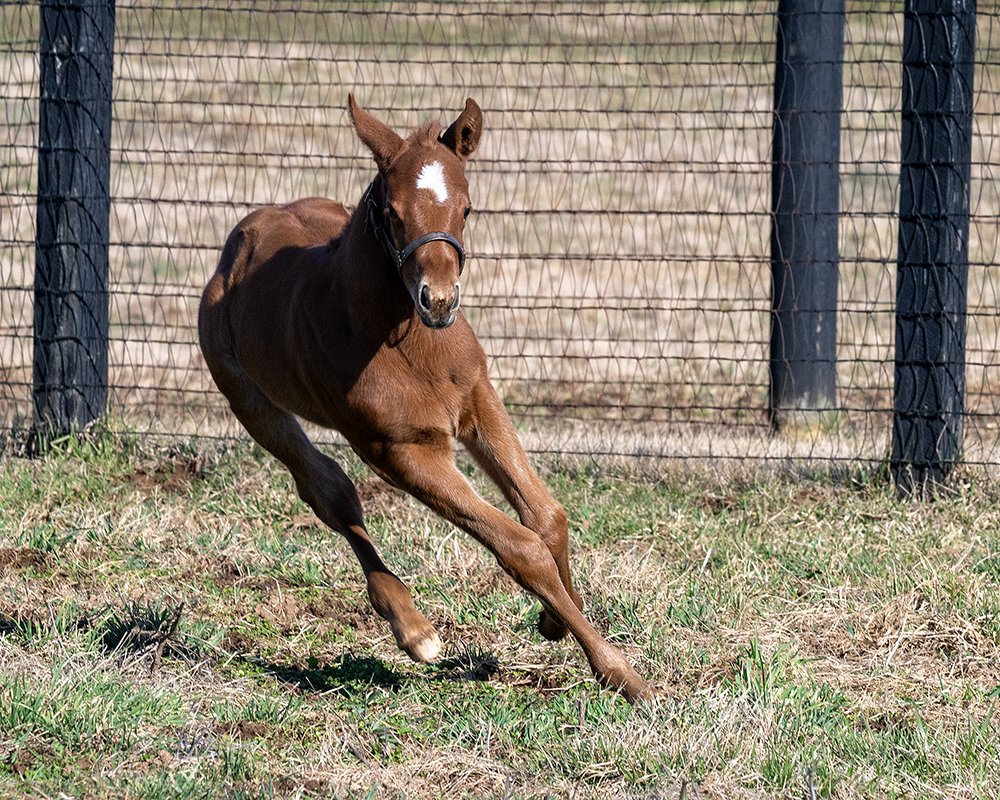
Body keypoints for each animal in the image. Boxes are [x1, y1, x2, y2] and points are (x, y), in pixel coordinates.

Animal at [199, 98, 652, 700]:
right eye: (392, 212)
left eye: (467, 208)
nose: (438, 301)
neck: (408, 341)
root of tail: (242, 237)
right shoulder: (403, 451)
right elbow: (520, 547)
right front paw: (619, 671)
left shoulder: (478, 399)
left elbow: (547, 517)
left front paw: (558, 619)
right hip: (251, 403)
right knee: (329, 493)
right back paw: (413, 630)